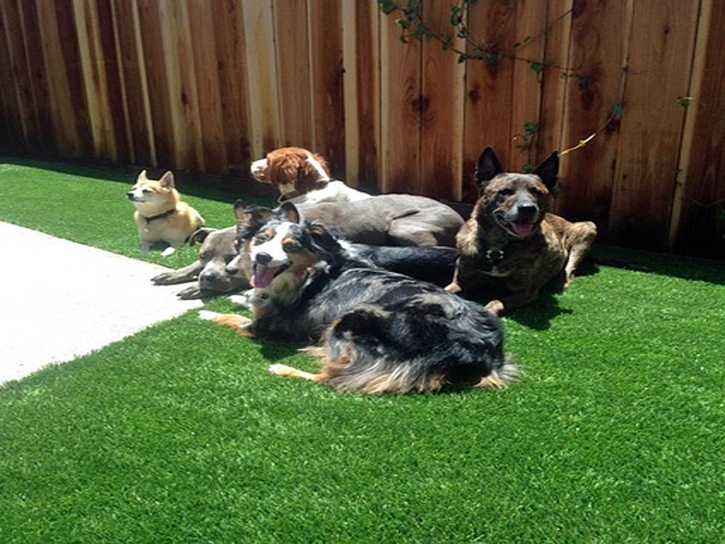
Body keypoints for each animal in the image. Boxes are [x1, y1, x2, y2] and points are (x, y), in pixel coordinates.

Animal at [198, 202, 516, 394]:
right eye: (261, 239)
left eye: (290, 246)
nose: (262, 257)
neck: (308, 272)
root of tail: (483, 349)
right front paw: (241, 297)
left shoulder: (263, 326)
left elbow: (232, 319)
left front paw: (206, 313)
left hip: (355, 317)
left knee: (331, 379)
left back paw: (284, 367)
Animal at [444, 147, 596, 316]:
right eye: (504, 192)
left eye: (537, 192)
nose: (528, 208)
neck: (499, 247)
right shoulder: (460, 282)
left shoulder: (524, 292)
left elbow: (495, 302)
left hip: (588, 228)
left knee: (569, 270)